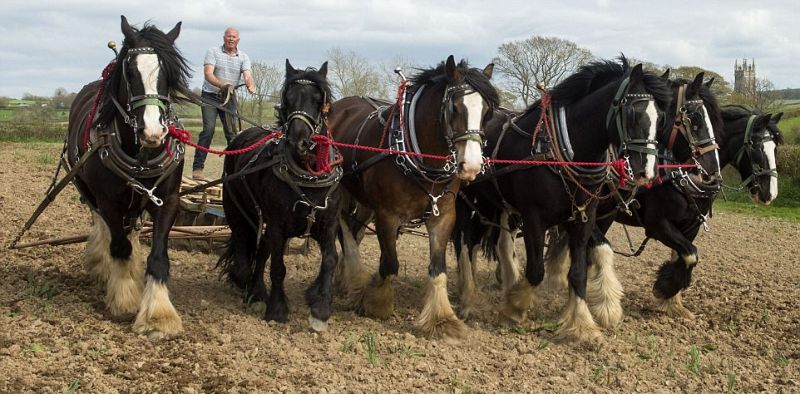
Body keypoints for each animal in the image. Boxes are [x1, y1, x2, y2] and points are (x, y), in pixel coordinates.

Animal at [65, 16, 191, 338]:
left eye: (168, 73)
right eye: (130, 72)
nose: (153, 131)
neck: (141, 155)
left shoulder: (167, 200)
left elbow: (158, 256)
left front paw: (158, 315)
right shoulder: (109, 201)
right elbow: (119, 245)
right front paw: (123, 298)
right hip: (87, 189)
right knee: (105, 228)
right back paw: (102, 265)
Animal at [216, 60, 340, 332]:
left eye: (318, 100)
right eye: (288, 99)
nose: (299, 141)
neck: (308, 177)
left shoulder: (326, 225)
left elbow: (330, 260)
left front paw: (320, 310)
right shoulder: (277, 225)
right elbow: (278, 267)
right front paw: (277, 309)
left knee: (262, 248)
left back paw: (256, 290)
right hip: (236, 208)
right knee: (244, 242)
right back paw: (246, 283)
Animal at [456, 57, 668, 342]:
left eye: (662, 118)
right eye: (633, 112)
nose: (647, 171)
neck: (565, 149)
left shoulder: (585, 217)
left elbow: (578, 273)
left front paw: (583, 325)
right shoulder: (534, 219)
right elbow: (536, 271)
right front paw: (514, 308)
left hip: (496, 204)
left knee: (491, 241)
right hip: (471, 200)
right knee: (466, 242)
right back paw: (468, 296)